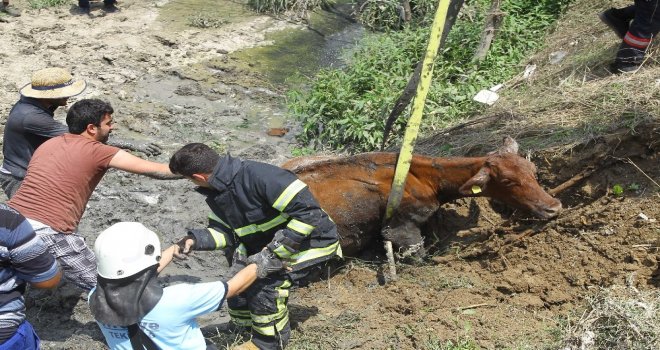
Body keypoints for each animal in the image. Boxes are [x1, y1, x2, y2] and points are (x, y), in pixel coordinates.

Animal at [282, 137, 564, 258]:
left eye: (533, 171)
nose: (553, 206)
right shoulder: (400, 227)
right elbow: (418, 255)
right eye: (507, 181)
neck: (426, 178)